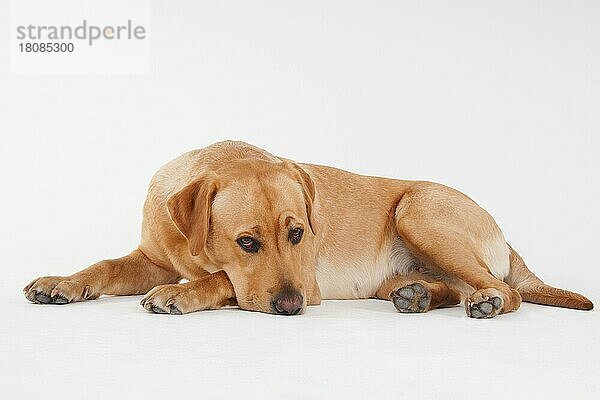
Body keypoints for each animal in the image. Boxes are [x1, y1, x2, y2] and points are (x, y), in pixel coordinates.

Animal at [22, 141, 592, 318]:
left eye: (298, 235)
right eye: (246, 241)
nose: (293, 307)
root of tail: (507, 239)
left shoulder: (305, 279)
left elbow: (222, 281)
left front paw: (181, 293)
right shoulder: (150, 257)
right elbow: (104, 265)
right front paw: (62, 282)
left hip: (418, 211)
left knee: (500, 290)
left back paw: (486, 302)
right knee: (453, 287)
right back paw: (419, 296)